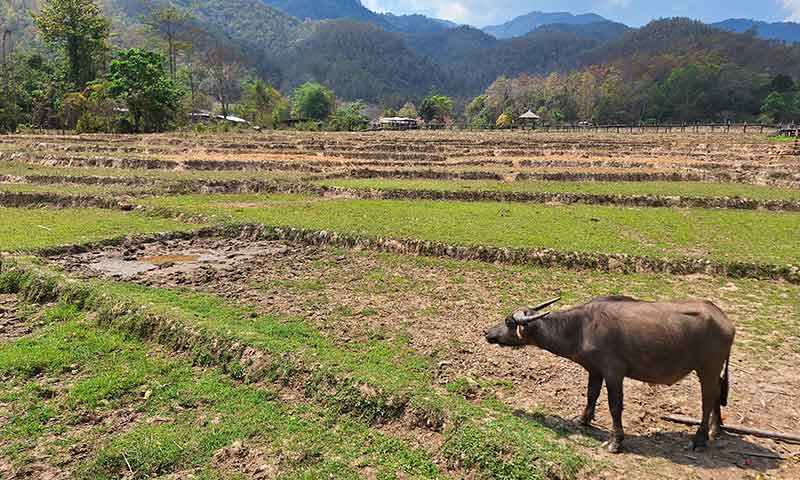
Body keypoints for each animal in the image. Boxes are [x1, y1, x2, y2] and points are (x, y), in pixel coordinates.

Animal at [485, 296, 735, 453]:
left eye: (508, 322)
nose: (487, 332)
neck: (581, 327)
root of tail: (724, 320)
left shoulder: (614, 373)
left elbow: (615, 406)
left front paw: (616, 441)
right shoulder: (595, 370)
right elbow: (591, 394)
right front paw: (583, 420)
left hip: (707, 368)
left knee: (707, 399)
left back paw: (699, 439)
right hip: (713, 371)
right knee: (716, 393)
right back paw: (715, 429)